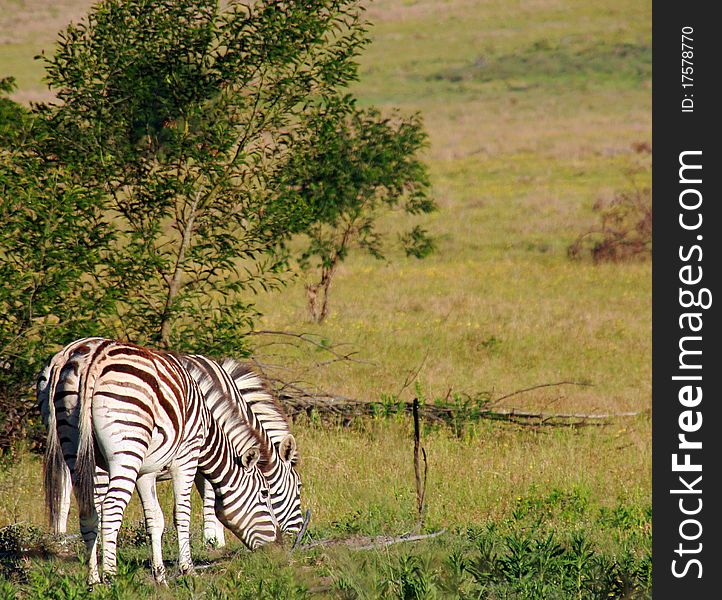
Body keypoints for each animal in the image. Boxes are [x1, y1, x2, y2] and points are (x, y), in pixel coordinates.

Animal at [43, 340, 278, 584]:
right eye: (265, 494)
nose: (274, 548)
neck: (207, 430)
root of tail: (91, 358)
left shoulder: (145, 472)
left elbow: (155, 520)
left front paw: (160, 576)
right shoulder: (187, 458)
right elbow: (182, 514)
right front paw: (188, 568)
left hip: (74, 445)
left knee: (88, 511)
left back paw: (94, 580)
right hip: (126, 447)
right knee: (110, 509)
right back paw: (112, 578)